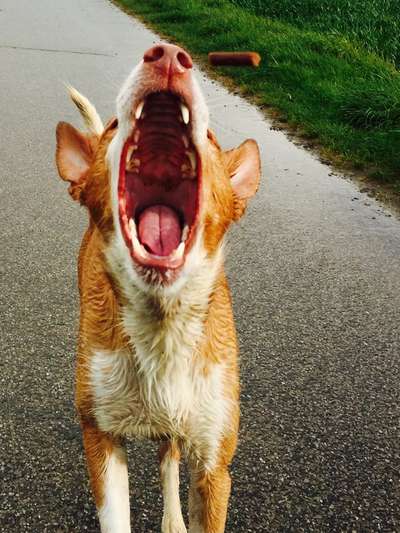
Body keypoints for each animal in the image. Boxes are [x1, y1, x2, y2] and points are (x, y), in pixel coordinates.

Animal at [56, 42, 260, 532]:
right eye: (113, 127)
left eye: (213, 140)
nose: (168, 56)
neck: (163, 326)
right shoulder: (102, 440)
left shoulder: (214, 465)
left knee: (169, 455)